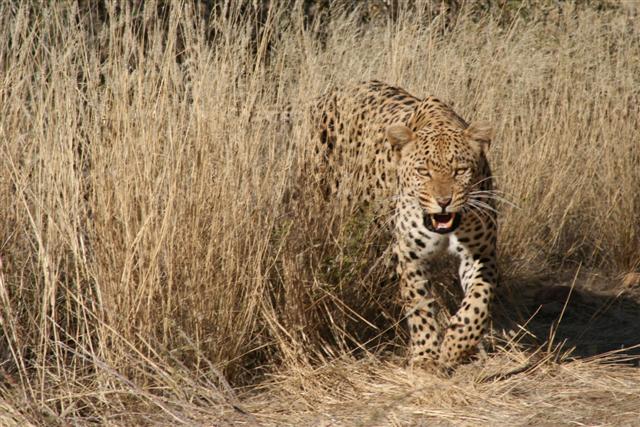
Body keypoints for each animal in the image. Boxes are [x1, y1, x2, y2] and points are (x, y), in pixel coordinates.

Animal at [312, 80, 498, 368]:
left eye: (460, 171)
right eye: (423, 172)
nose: (443, 201)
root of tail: (343, 85)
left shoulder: (480, 252)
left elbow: (478, 301)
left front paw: (456, 345)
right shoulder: (411, 255)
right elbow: (419, 307)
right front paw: (425, 357)